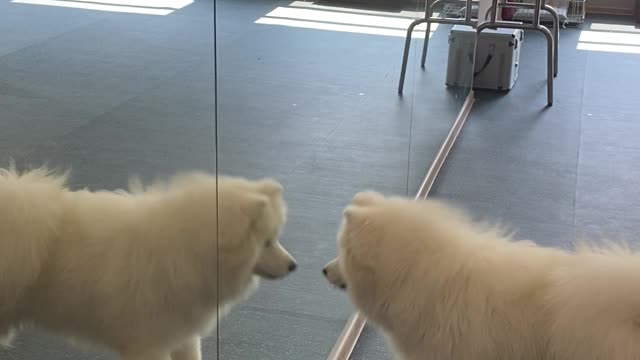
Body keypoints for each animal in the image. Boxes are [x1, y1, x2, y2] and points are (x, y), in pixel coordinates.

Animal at [0, 167, 296, 360]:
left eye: (276, 238)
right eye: (266, 242)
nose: (294, 265)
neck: (185, 252)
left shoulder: (182, 337)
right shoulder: (148, 344)